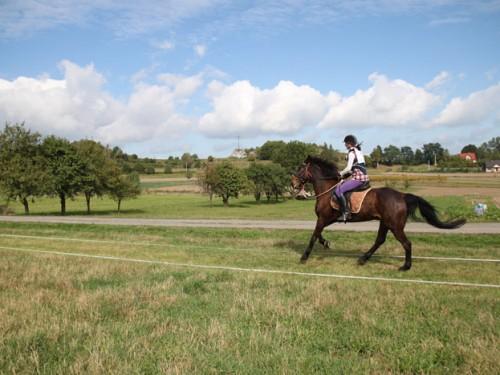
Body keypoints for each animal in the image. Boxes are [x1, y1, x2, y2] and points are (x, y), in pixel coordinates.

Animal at [292, 157, 466, 272]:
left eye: (300, 168)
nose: (293, 184)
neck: (328, 190)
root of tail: (402, 196)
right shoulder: (326, 219)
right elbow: (319, 235)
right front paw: (326, 243)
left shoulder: (323, 218)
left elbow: (314, 235)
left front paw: (304, 257)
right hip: (385, 222)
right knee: (380, 240)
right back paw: (363, 259)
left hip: (395, 226)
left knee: (406, 243)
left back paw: (405, 266)